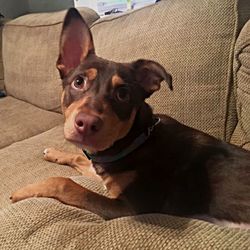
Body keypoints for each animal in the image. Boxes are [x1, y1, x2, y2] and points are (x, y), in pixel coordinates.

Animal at [10, 8, 250, 229]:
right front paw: (53, 152)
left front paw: (23, 191)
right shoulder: (106, 174)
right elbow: (79, 158)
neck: (135, 139)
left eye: (123, 94)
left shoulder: (128, 207)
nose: (86, 124)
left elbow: (65, 183)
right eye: (78, 82)